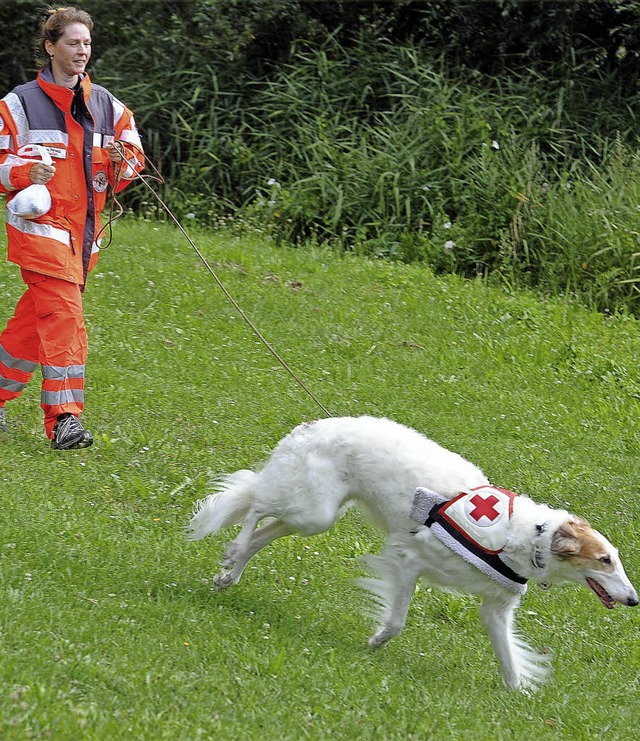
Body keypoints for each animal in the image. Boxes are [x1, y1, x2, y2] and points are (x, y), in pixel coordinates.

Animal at [188, 414, 636, 692]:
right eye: (605, 560)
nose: (633, 600)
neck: (528, 536)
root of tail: (315, 424)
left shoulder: (495, 609)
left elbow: (509, 662)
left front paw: (518, 696)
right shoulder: (409, 559)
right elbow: (396, 623)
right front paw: (373, 644)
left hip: (315, 515)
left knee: (263, 527)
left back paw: (229, 574)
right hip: (310, 511)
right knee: (256, 506)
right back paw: (233, 551)